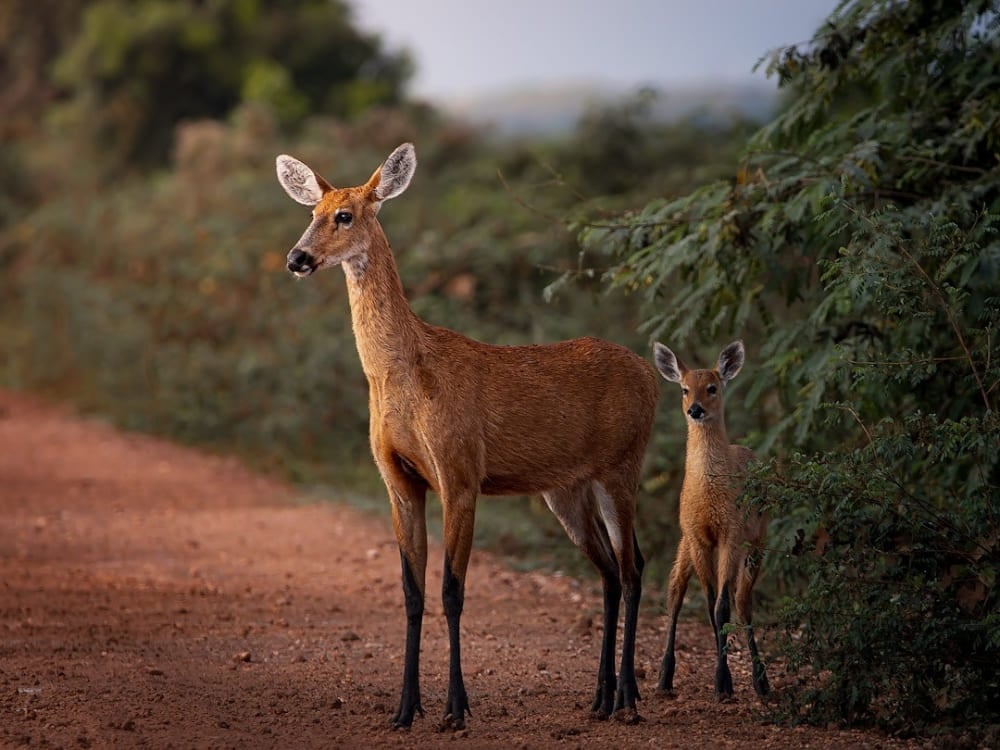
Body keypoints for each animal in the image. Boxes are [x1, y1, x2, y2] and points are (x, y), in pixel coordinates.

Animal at [275, 143, 659, 730]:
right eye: (311, 212)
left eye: (345, 215)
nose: (297, 259)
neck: (405, 376)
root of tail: (653, 377)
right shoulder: (399, 479)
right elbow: (412, 593)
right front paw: (405, 708)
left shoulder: (459, 472)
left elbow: (452, 591)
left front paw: (456, 708)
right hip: (566, 489)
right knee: (612, 571)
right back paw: (600, 697)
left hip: (622, 463)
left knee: (634, 566)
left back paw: (629, 699)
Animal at [651, 340, 769, 702]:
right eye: (685, 388)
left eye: (713, 387)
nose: (696, 410)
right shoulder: (697, 535)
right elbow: (707, 604)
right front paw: (722, 681)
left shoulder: (731, 533)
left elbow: (722, 608)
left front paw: (723, 683)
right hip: (685, 543)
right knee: (675, 591)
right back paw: (663, 678)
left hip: (758, 540)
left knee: (743, 602)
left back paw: (762, 682)